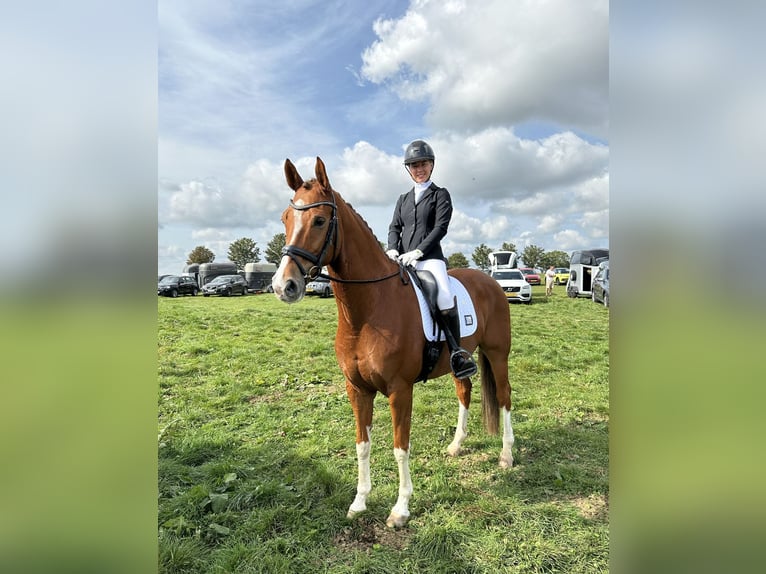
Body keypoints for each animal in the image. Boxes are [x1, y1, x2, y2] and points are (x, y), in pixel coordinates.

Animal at [272, 158, 516, 532]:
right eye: (286, 218)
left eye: (320, 220)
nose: (283, 285)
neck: (367, 312)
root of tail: (489, 281)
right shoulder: (357, 389)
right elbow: (362, 444)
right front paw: (359, 502)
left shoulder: (400, 390)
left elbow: (401, 446)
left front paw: (400, 509)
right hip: (462, 360)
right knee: (465, 391)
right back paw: (456, 446)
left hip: (497, 353)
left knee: (504, 397)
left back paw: (506, 455)